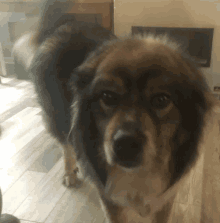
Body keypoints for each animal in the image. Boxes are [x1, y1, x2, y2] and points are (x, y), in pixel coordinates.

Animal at [13, 0, 217, 222]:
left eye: (161, 100)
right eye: (108, 97)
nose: (126, 145)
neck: (140, 173)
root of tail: (62, 27)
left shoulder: (166, 197)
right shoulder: (110, 197)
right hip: (58, 116)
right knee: (66, 144)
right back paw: (70, 172)